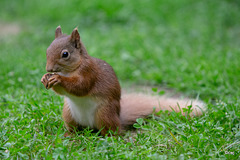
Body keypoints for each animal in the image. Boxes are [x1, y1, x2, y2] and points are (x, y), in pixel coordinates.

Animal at [40, 26, 204, 136]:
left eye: (65, 54)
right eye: (47, 50)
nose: (48, 68)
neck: (70, 70)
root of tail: (118, 119)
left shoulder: (89, 72)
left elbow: (80, 86)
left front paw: (58, 78)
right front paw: (45, 78)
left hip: (104, 114)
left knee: (112, 131)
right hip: (68, 114)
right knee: (75, 128)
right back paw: (69, 134)